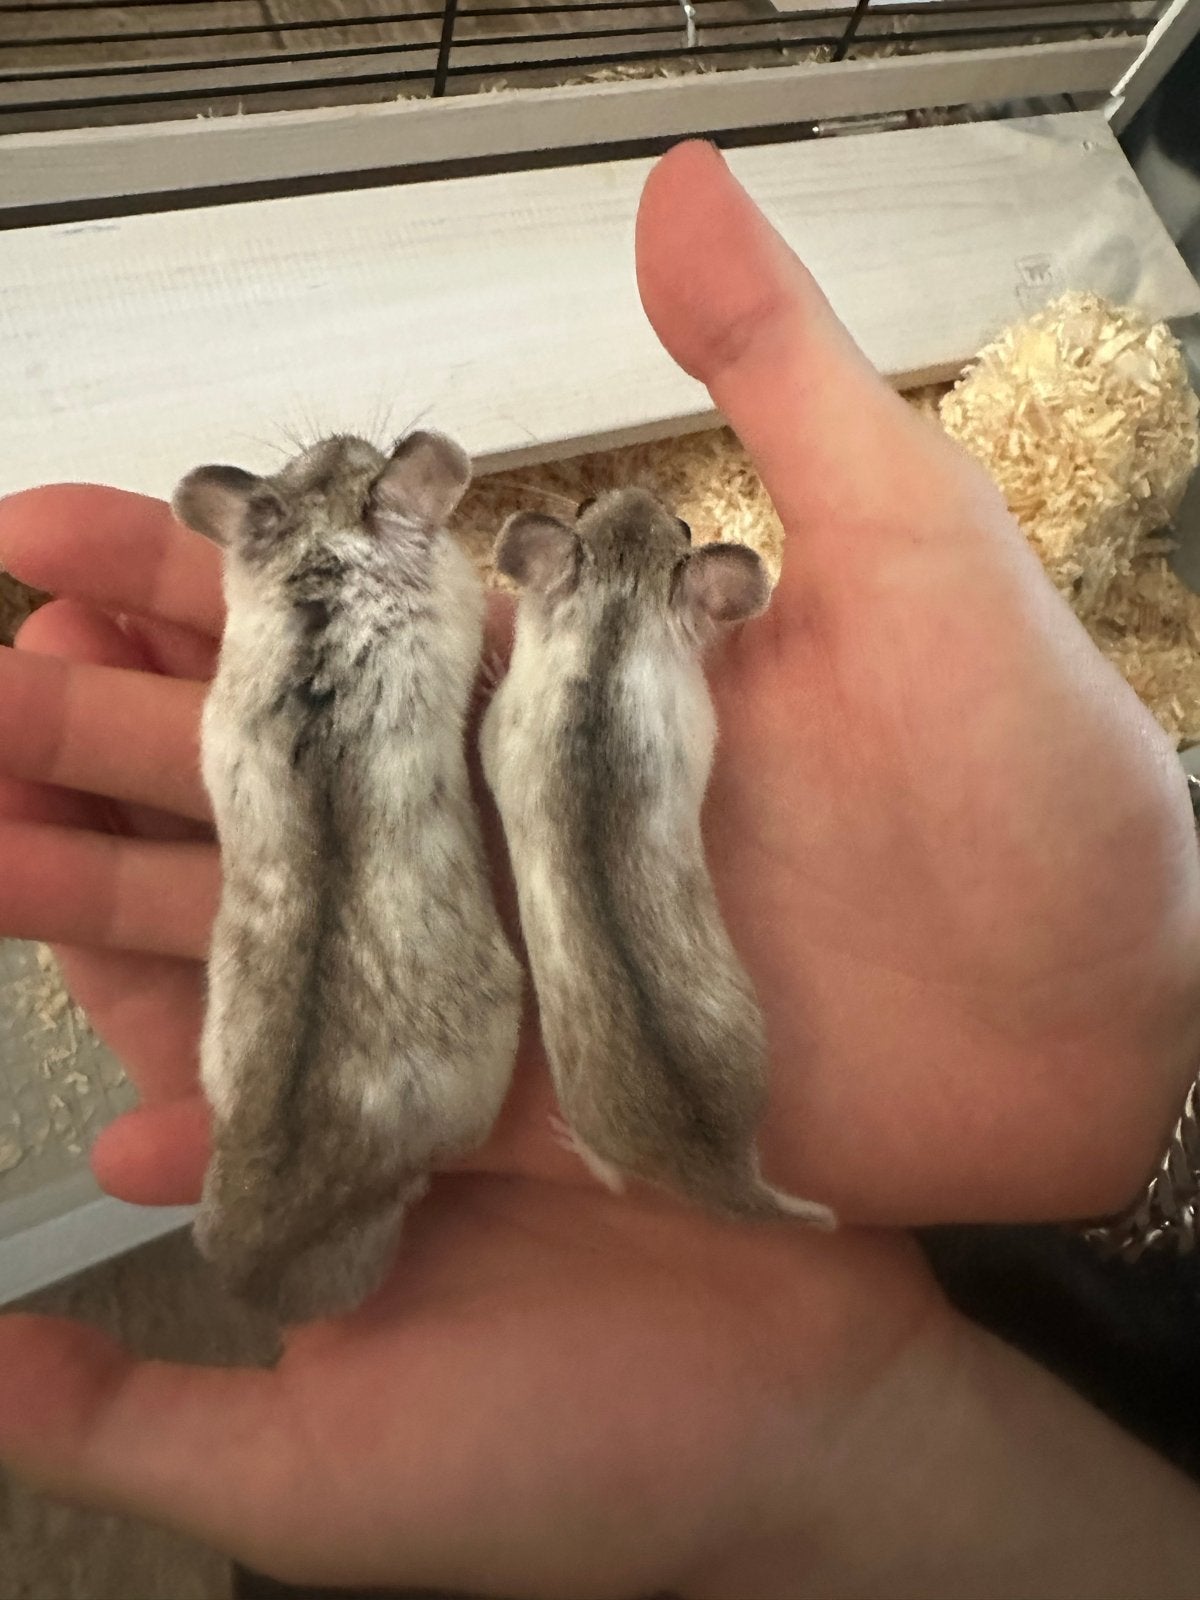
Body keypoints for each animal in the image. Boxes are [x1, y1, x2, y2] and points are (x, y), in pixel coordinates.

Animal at [481, 488, 834, 1228]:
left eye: (684, 523)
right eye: (590, 500)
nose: (638, 493)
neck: (616, 614)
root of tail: (723, 1173)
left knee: (613, 1182)